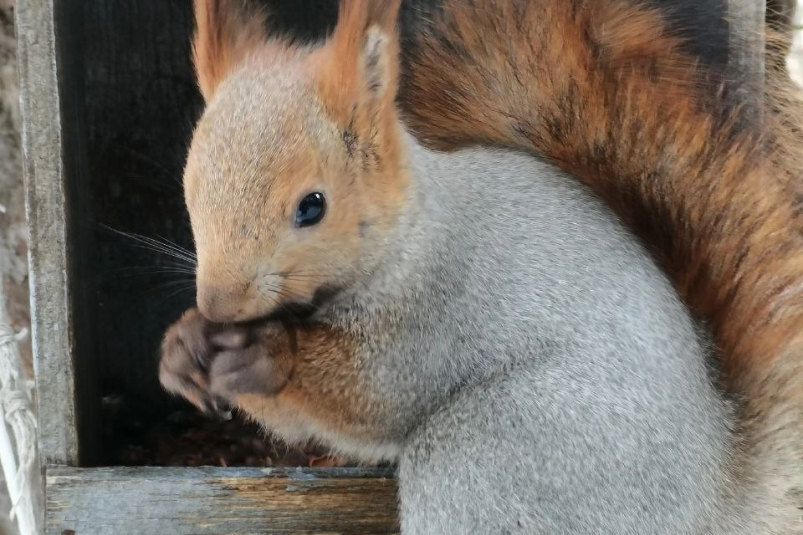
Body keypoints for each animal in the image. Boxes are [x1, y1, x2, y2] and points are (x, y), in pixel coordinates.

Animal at [159, 0, 803, 532]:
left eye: (312, 206)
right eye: (189, 186)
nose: (220, 304)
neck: (412, 233)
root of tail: (713, 501)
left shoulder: (436, 312)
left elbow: (371, 397)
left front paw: (268, 353)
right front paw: (183, 348)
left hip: (494, 452)